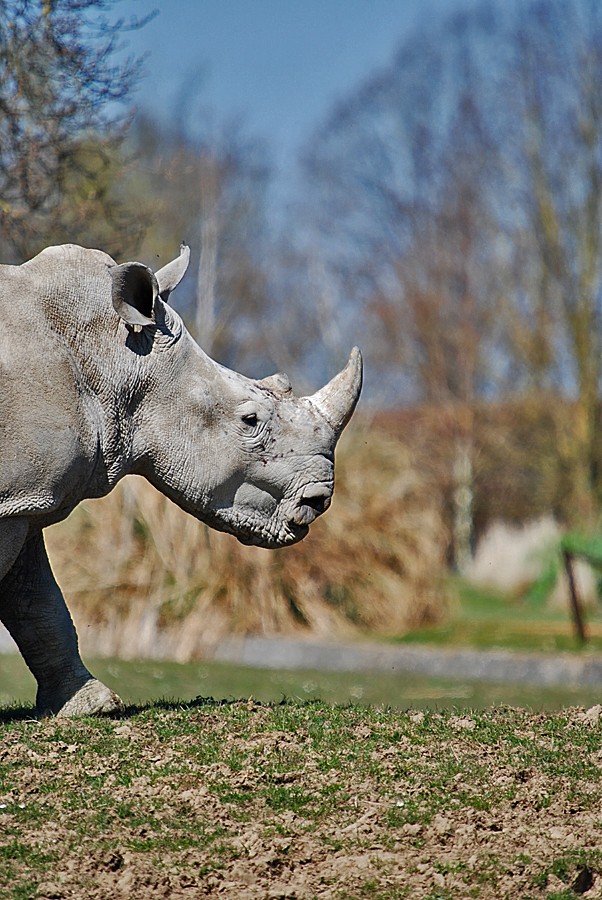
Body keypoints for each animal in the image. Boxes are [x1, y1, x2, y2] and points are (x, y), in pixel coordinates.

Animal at [0, 243, 362, 716]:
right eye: (250, 420)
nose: (318, 500)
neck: (114, 356)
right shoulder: (16, 497)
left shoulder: (26, 496)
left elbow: (37, 602)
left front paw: (92, 706)